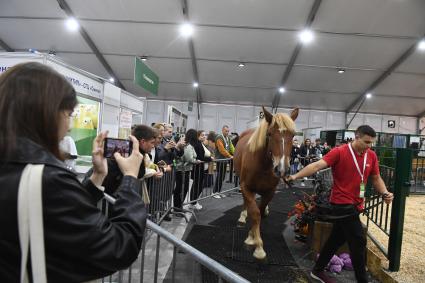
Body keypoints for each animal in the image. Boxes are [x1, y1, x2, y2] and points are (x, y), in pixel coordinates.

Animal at [232, 107, 298, 262]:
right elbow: (255, 213)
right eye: (269, 134)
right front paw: (257, 246)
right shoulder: (246, 187)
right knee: (246, 203)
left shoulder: (270, 191)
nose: (281, 169)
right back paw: (243, 216)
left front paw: (252, 237)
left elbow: (260, 212)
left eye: (292, 135)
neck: (262, 165)